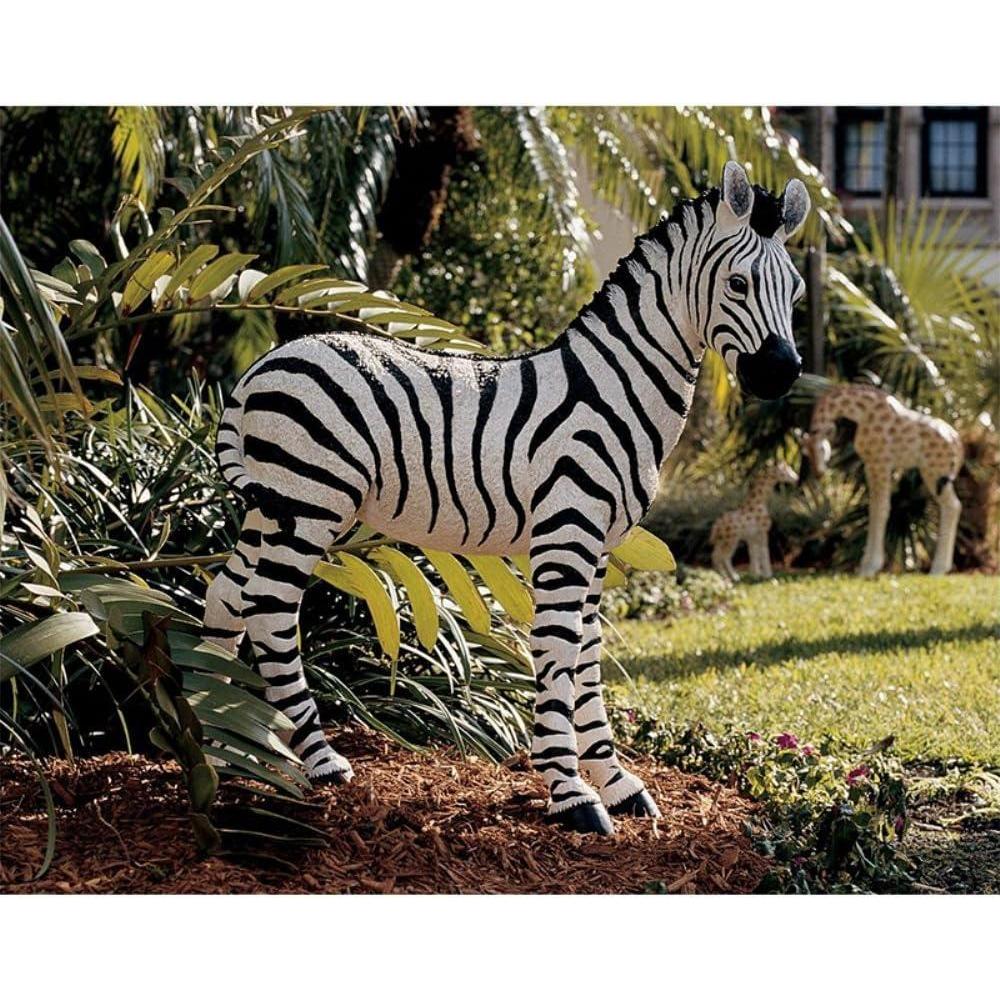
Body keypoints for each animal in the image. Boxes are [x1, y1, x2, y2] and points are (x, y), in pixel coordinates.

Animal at [204, 161, 810, 836]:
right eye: (737, 282)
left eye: (796, 293)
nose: (783, 374)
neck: (618, 388)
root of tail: (262, 366)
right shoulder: (568, 533)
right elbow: (560, 649)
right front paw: (571, 792)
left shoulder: (599, 543)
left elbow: (589, 656)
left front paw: (617, 784)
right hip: (308, 500)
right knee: (270, 609)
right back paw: (319, 760)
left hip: (273, 504)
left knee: (227, 593)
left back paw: (220, 739)